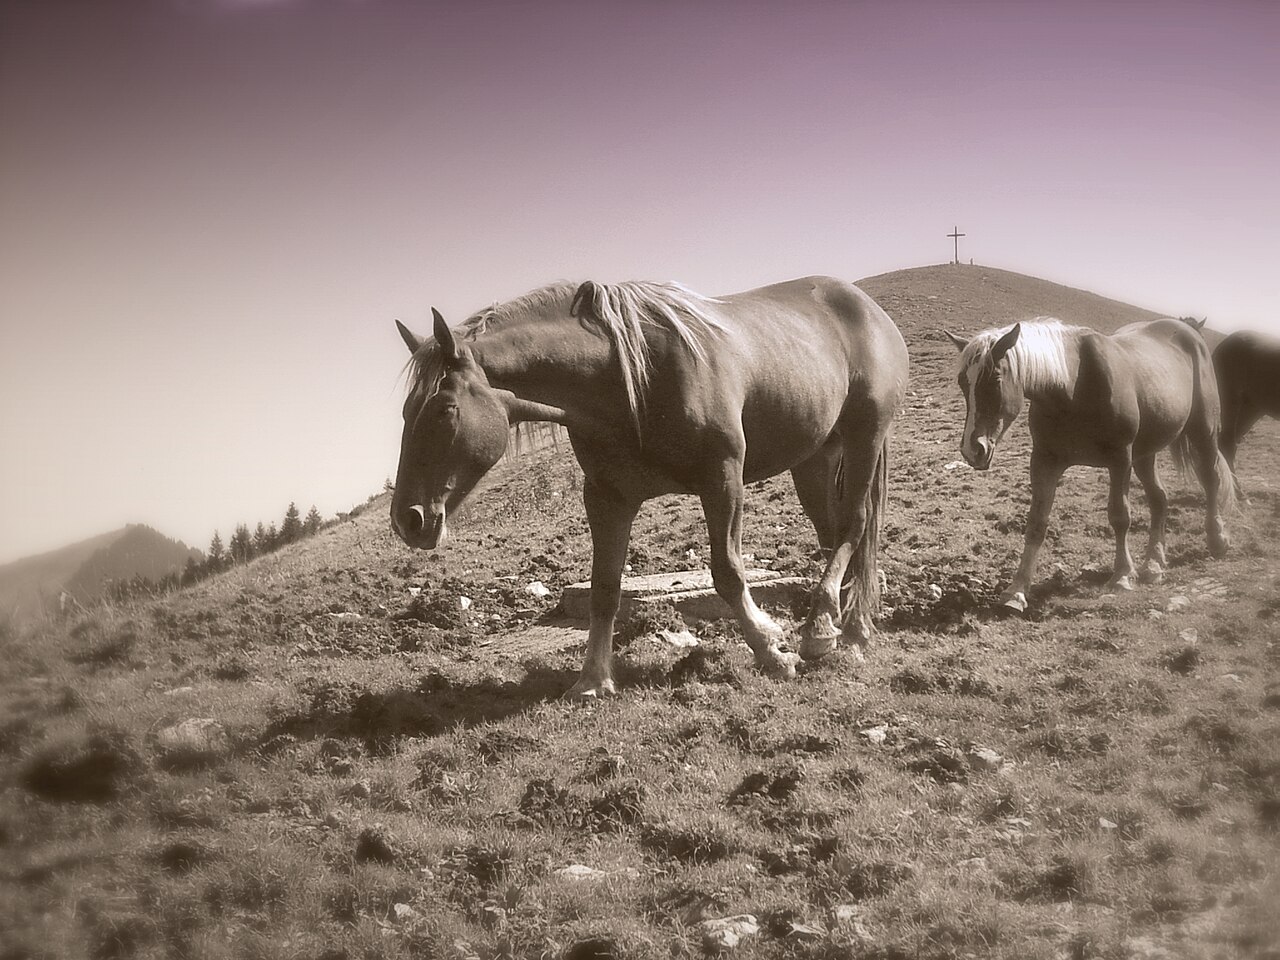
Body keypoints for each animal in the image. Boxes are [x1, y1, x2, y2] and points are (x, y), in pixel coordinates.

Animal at [391, 276, 909, 698]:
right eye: (405, 413)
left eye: (445, 410)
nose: (408, 520)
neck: (630, 384)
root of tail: (866, 305)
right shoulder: (607, 498)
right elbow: (604, 588)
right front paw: (593, 680)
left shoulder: (723, 480)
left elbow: (728, 572)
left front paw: (770, 651)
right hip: (816, 458)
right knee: (835, 534)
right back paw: (840, 623)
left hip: (865, 436)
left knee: (855, 524)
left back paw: (836, 632)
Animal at [945, 317, 1235, 613]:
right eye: (962, 382)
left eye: (995, 379)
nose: (973, 449)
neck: (1072, 387)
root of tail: (1190, 332)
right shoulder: (1044, 461)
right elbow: (1036, 522)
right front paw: (1016, 591)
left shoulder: (1120, 459)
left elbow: (1120, 516)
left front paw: (1122, 575)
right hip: (1146, 454)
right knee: (1159, 499)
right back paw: (1153, 564)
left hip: (1203, 433)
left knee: (1211, 480)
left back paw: (1217, 540)